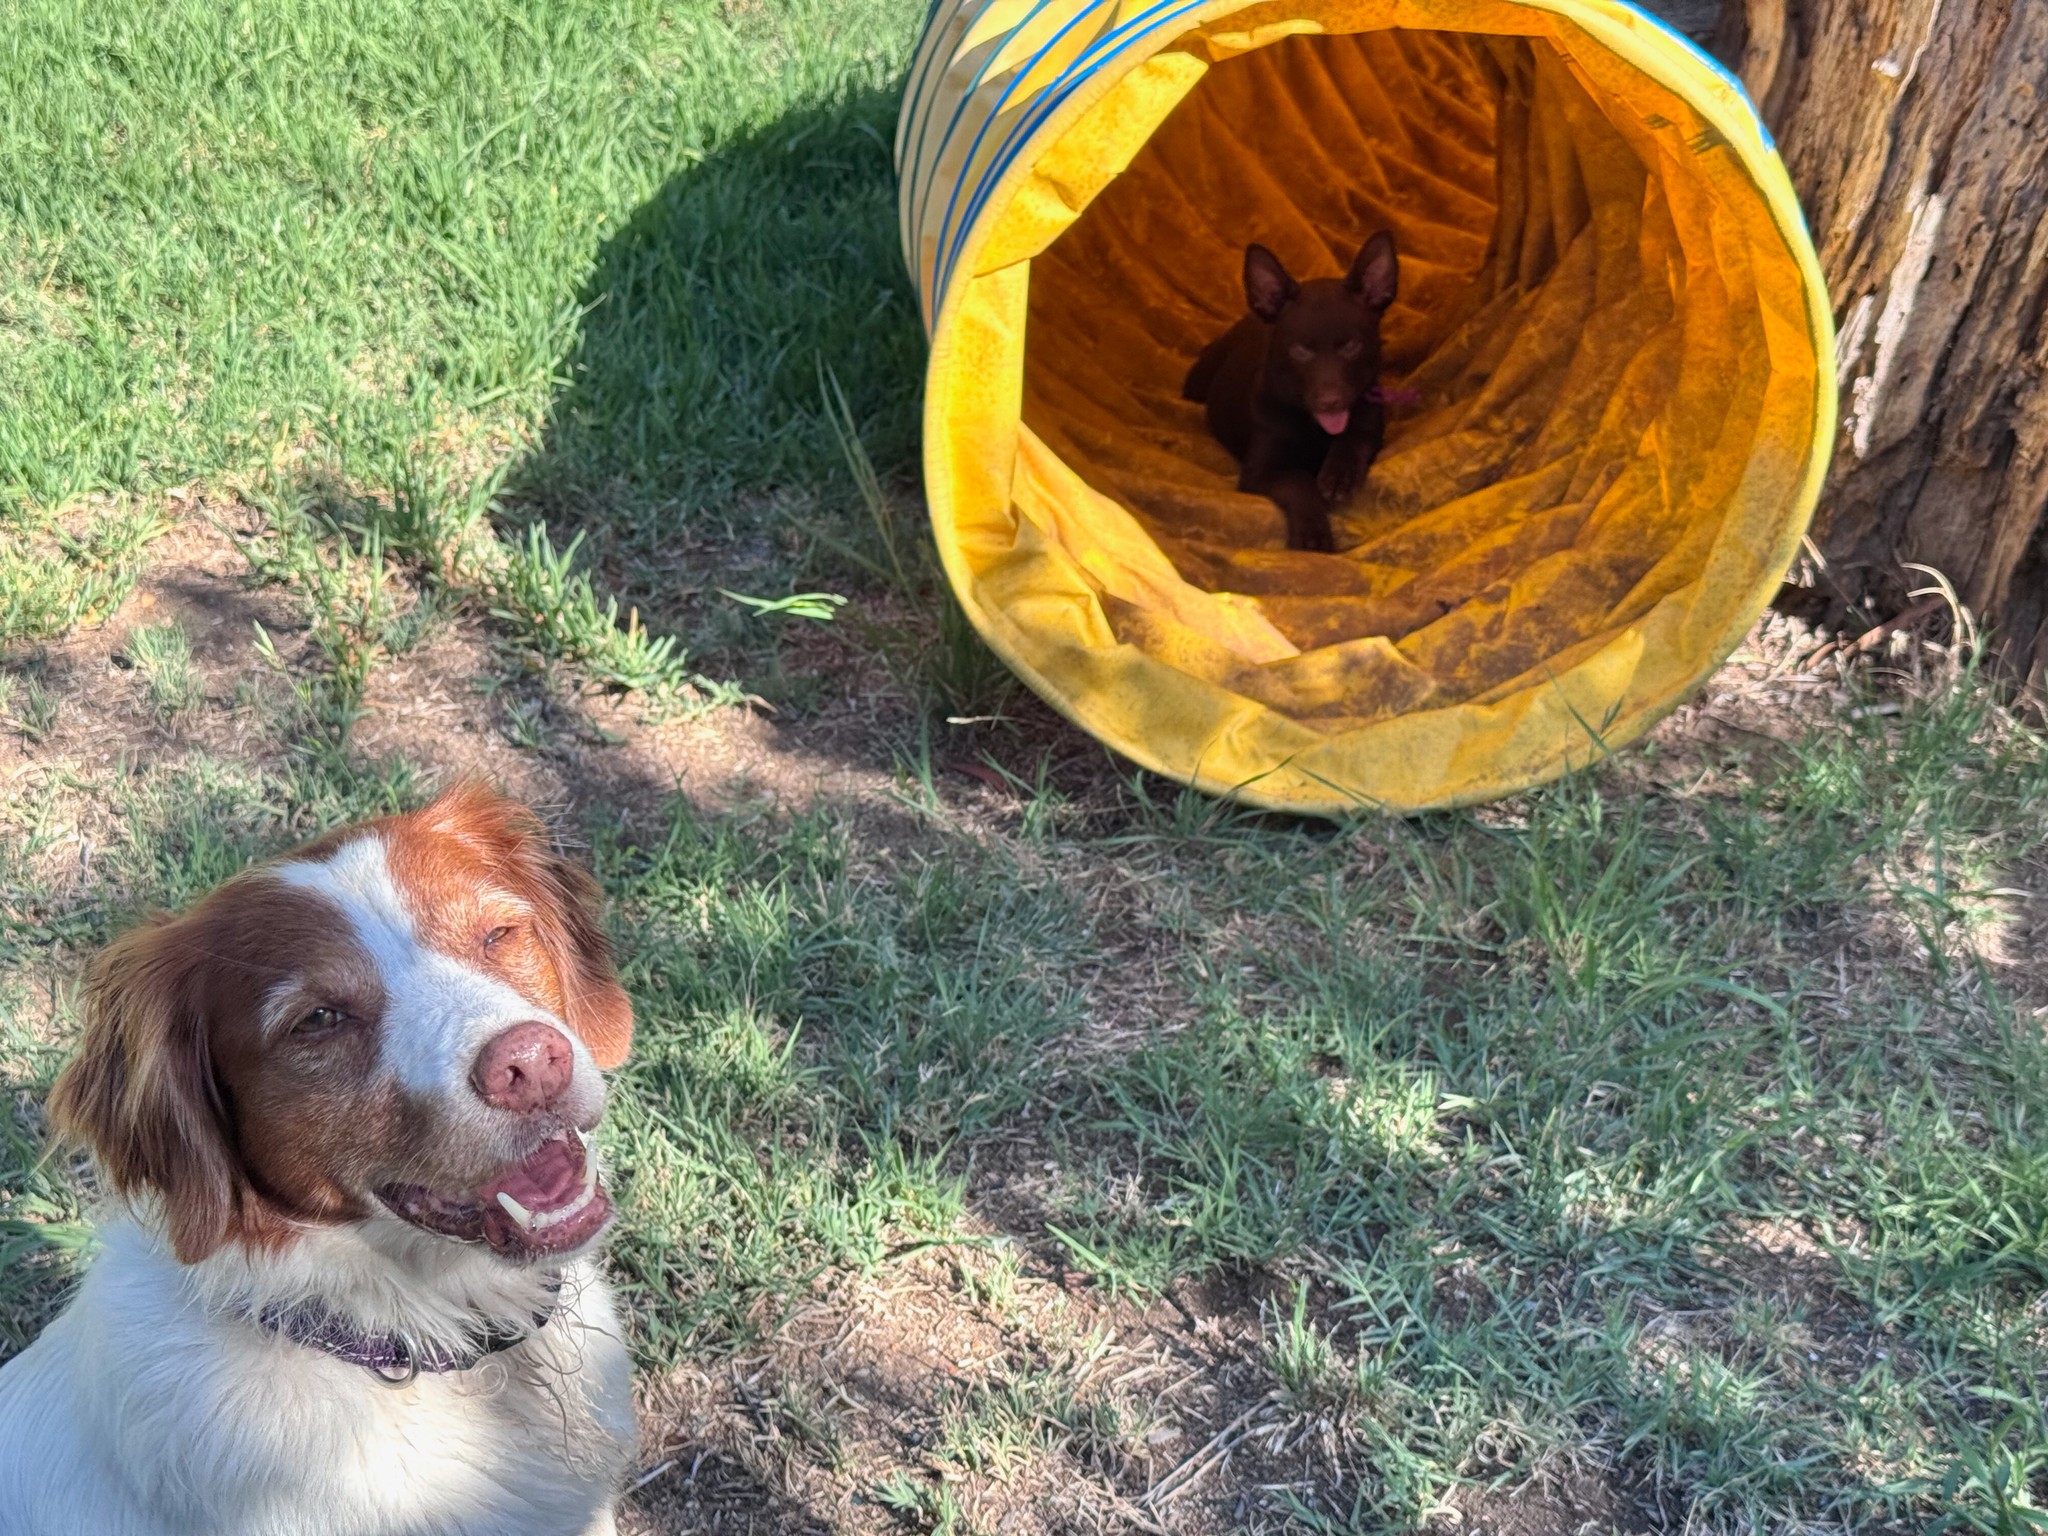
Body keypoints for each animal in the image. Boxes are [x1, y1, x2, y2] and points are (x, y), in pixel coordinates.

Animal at [1183, 231, 1400, 553]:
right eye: (1300, 351)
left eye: (1351, 346)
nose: (1330, 402)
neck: (1314, 426)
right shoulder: (1257, 473)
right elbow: (1298, 480)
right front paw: (1313, 534)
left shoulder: (1369, 423)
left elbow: (1355, 438)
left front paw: (1339, 474)